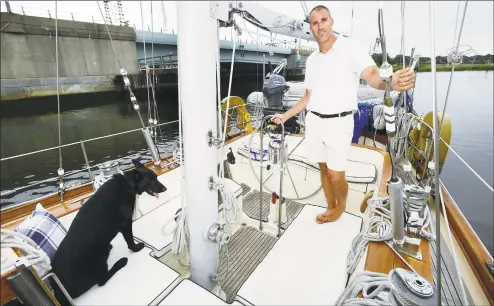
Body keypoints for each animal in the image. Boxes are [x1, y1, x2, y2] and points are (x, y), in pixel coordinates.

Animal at [50, 158, 167, 304]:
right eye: (150, 180)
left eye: (156, 177)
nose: (165, 189)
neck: (127, 183)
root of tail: (57, 289)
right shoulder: (126, 223)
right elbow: (130, 240)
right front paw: (136, 248)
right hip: (99, 258)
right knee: (102, 281)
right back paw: (121, 262)